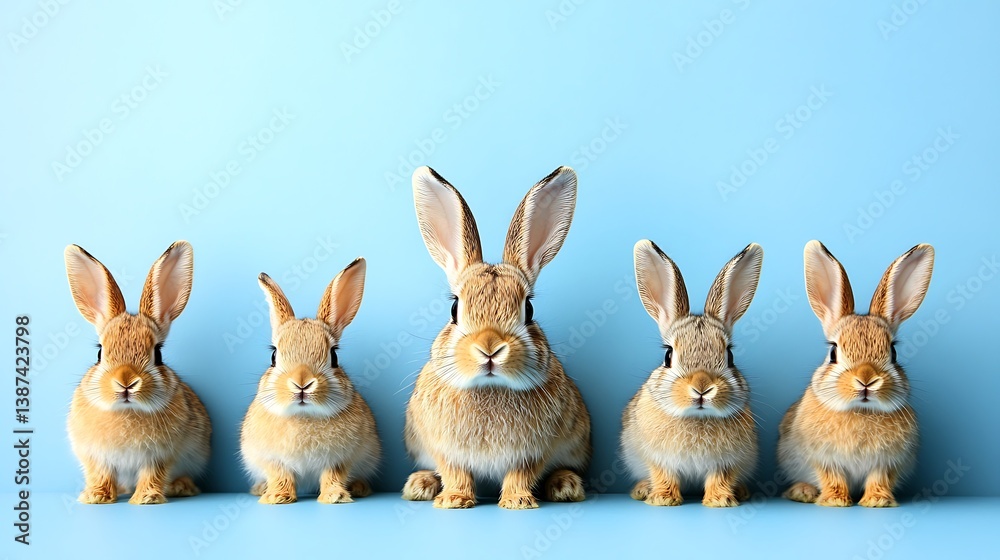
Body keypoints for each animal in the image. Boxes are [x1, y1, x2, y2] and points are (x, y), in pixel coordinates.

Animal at [64, 241, 211, 504]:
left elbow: (153, 474)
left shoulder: (160, 456)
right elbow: (101, 474)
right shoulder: (95, 456)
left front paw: (147, 498)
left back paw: (180, 487)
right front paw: (95, 496)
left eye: (158, 354)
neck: (127, 410)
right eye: (99, 352)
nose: (126, 382)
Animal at [240, 258, 381, 504]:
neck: (303, 415)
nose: (302, 382)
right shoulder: (272, 459)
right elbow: (280, 475)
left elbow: (333, 475)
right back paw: (261, 489)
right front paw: (277, 497)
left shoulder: (339, 459)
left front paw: (334, 497)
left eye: (334, 356)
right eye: (273, 356)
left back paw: (359, 488)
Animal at [401, 166, 591, 510]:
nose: (489, 348)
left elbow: (521, 474)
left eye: (529, 309)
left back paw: (565, 486)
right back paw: (420, 485)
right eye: (454, 308)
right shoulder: (444, 450)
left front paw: (518, 501)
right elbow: (455, 472)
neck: (489, 387)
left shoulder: (533, 452)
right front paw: (454, 500)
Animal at [621, 240, 762, 507]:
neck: (697, 417)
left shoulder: (726, 462)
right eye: (668, 356)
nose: (702, 387)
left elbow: (720, 478)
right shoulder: (658, 458)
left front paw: (720, 501)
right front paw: (663, 499)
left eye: (730, 356)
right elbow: (664, 475)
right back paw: (642, 490)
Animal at [778, 241, 934, 507]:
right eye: (833, 352)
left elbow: (879, 478)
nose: (866, 380)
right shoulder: (823, 459)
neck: (861, 410)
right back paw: (803, 492)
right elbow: (832, 478)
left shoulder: (887, 462)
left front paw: (877, 501)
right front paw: (836, 501)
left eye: (893, 352)